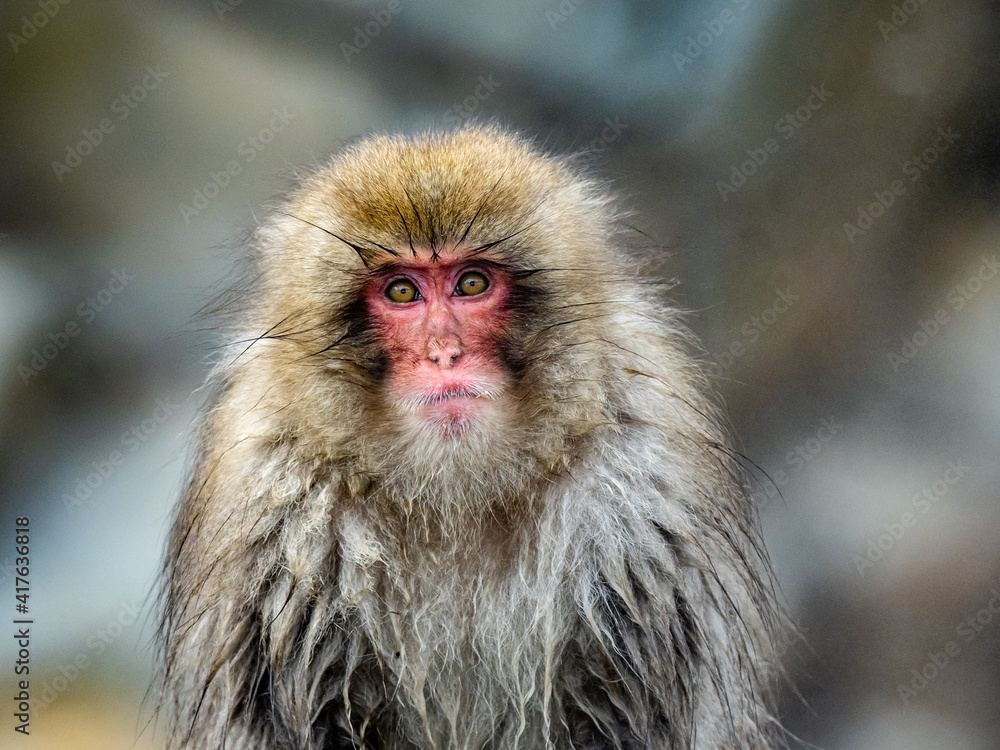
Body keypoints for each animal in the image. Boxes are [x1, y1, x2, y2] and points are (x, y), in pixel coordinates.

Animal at [157, 124, 783, 750]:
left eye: (472, 283)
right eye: (402, 292)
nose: (444, 353)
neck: (454, 492)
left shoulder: (636, 498)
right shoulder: (280, 520)